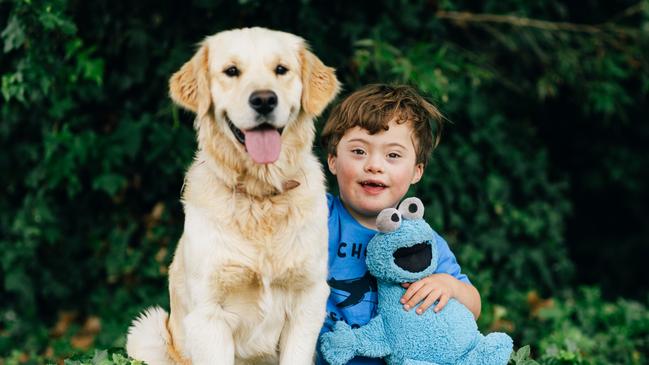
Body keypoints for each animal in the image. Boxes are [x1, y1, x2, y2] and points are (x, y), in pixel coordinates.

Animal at [125, 27, 340, 364]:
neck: (260, 196)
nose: (264, 100)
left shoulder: (309, 298)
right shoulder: (208, 316)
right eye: (231, 71)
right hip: (147, 331)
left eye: (281, 69)